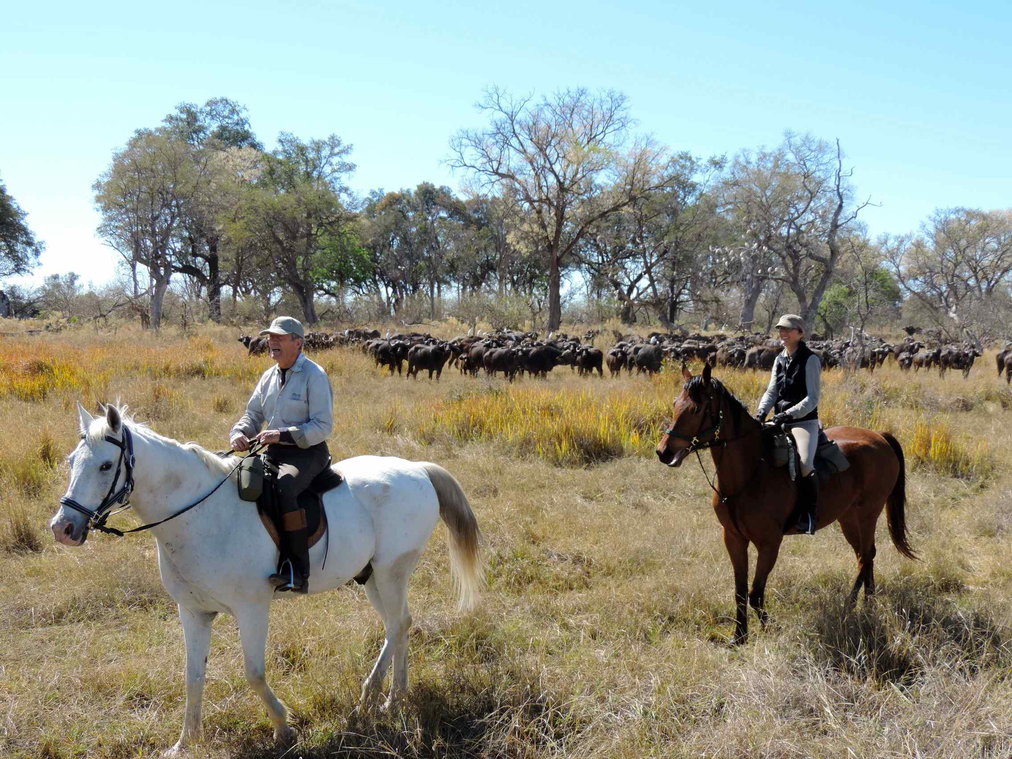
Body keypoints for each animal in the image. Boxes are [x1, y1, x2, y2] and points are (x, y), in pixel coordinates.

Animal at [50, 403, 483, 756]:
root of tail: (417, 469)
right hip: (373, 576)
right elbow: (192, 676)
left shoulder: (252, 609)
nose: (63, 528)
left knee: (396, 626)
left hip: (392, 571)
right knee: (400, 625)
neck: (202, 516)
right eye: (71, 461)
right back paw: (389, 699)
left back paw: (378, 700)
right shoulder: (193, 612)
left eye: (106, 466)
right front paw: (185, 742)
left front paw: (284, 728)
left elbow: (254, 674)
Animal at [655, 364, 916, 644]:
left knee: (866, 556)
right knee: (864, 556)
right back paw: (866, 605)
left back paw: (853, 606)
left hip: (868, 514)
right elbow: (740, 591)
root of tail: (879, 437)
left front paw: (771, 630)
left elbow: (755, 592)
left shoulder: (770, 543)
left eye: (696, 409)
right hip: (848, 518)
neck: (749, 474)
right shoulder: (733, 538)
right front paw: (739, 637)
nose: (663, 452)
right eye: (675, 404)